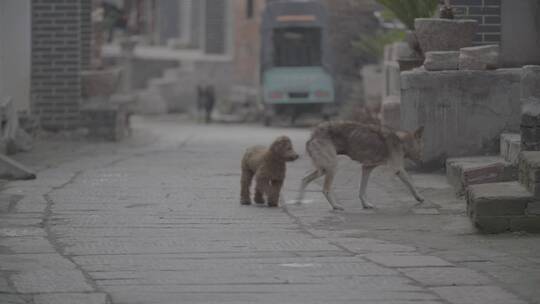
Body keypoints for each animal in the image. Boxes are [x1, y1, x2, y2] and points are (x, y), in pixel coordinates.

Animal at [296, 121, 426, 211]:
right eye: (421, 148)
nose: (422, 160)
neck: (401, 141)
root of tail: (313, 136)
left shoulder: (366, 168)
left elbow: (362, 190)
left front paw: (365, 204)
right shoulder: (397, 169)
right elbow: (411, 184)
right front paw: (419, 198)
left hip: (323, 170)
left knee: (304, 179)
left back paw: (299, 201)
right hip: (332, 168)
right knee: (325, 189)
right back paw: (336, 206)